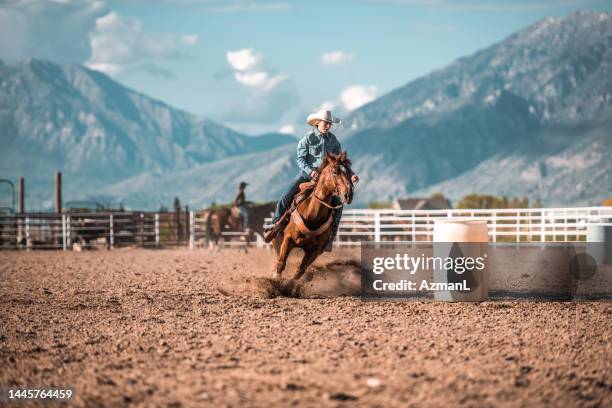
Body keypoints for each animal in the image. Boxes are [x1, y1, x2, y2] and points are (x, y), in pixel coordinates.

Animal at [272, 151, 354, 282]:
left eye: (350, 172)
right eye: (335, 172)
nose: (349, 194)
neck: (312, 215)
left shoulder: (315, 250)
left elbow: (300, 271)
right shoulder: (288, 239)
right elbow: (281, 263)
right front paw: (276, 280)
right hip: (277, 239)